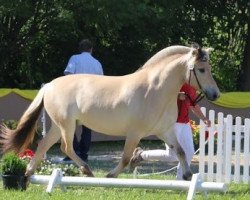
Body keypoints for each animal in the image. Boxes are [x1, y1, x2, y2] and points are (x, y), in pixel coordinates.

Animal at [0, 43, 219, 180]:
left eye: (209, 68)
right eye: (201, 69)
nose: (215, 94)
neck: (156, 89)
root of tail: (49, 86)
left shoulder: (165, 130)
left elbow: (180, 151)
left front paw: (188, 176)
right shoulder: (135, 133)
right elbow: (126, 157)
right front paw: (111, 175)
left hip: (57, 126)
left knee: (44, 145)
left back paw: (28, 174)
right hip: (66, 125)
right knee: (66, 147)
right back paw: (86, 170)